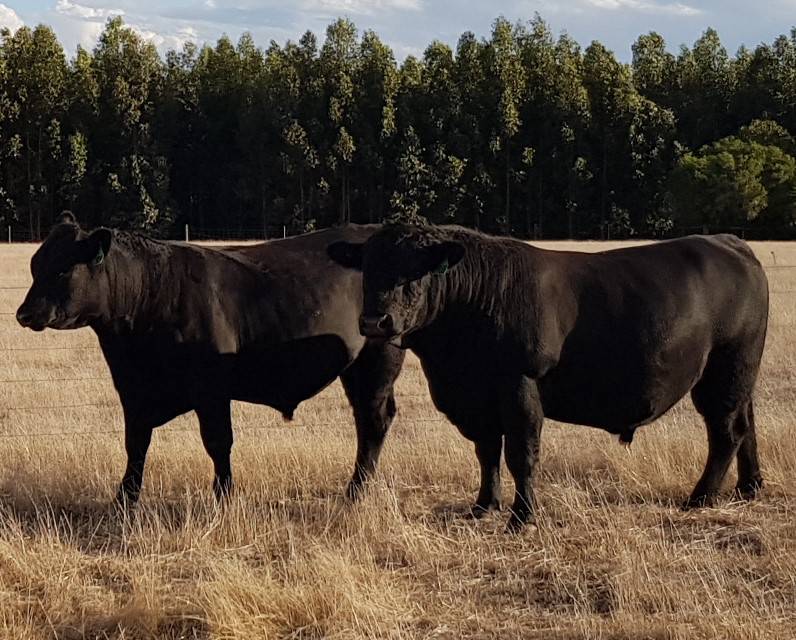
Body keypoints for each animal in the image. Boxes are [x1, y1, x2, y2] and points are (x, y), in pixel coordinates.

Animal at [16, 213, 405, 506]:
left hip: (378, 359)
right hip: (356, 368)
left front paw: (223, 496)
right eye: (35, 264)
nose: (24, 313)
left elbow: (218, 442)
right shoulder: (132, 390)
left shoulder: (210, 388)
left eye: (63, 268)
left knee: (373, 420)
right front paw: (124, 500)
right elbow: (135, 444)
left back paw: (355, 493)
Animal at [328, 224, 769, 530]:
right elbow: (487, 452)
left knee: (726, 432)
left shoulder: (519, 385)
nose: (375, 321)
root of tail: (729, 242)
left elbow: (521, 454)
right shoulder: (477, 399)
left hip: (723, 373)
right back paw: (748, 488)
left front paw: (521, 518)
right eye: (367, 269)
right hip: (740, 377)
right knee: (747, 425)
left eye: (415, 272)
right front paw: (483, 505)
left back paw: (701, 498)